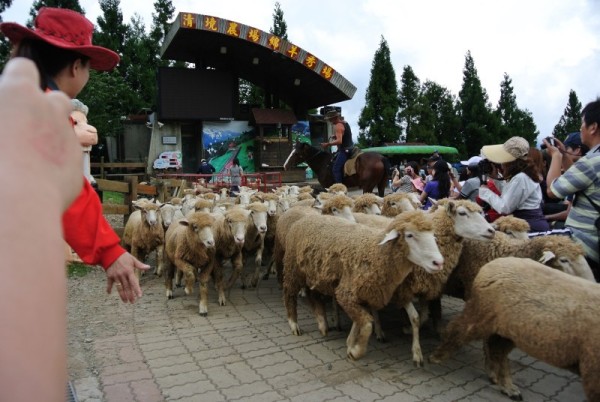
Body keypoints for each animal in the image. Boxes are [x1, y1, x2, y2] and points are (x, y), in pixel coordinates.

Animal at [282, 212, 446, 360]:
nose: (438, 263)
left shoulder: (363, 295)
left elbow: (360, 321)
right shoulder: (345, 294)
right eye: (409, 235)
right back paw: (294, 323)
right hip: (293, 268)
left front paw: (350, 344)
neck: (374, 252)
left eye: (433, 235)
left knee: (313, 295)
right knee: (289, 293)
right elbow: (367, 324)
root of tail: (307, 216)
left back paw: (322, 323)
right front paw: (356, 351)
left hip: (313, 274)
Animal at [428, 258, 600, 402]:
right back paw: (437, 356)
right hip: (482, 312)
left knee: (497, 351)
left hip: (507, 329)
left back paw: (507, 386)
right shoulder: (592, 368)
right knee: (459, 329)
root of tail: (492, 263)